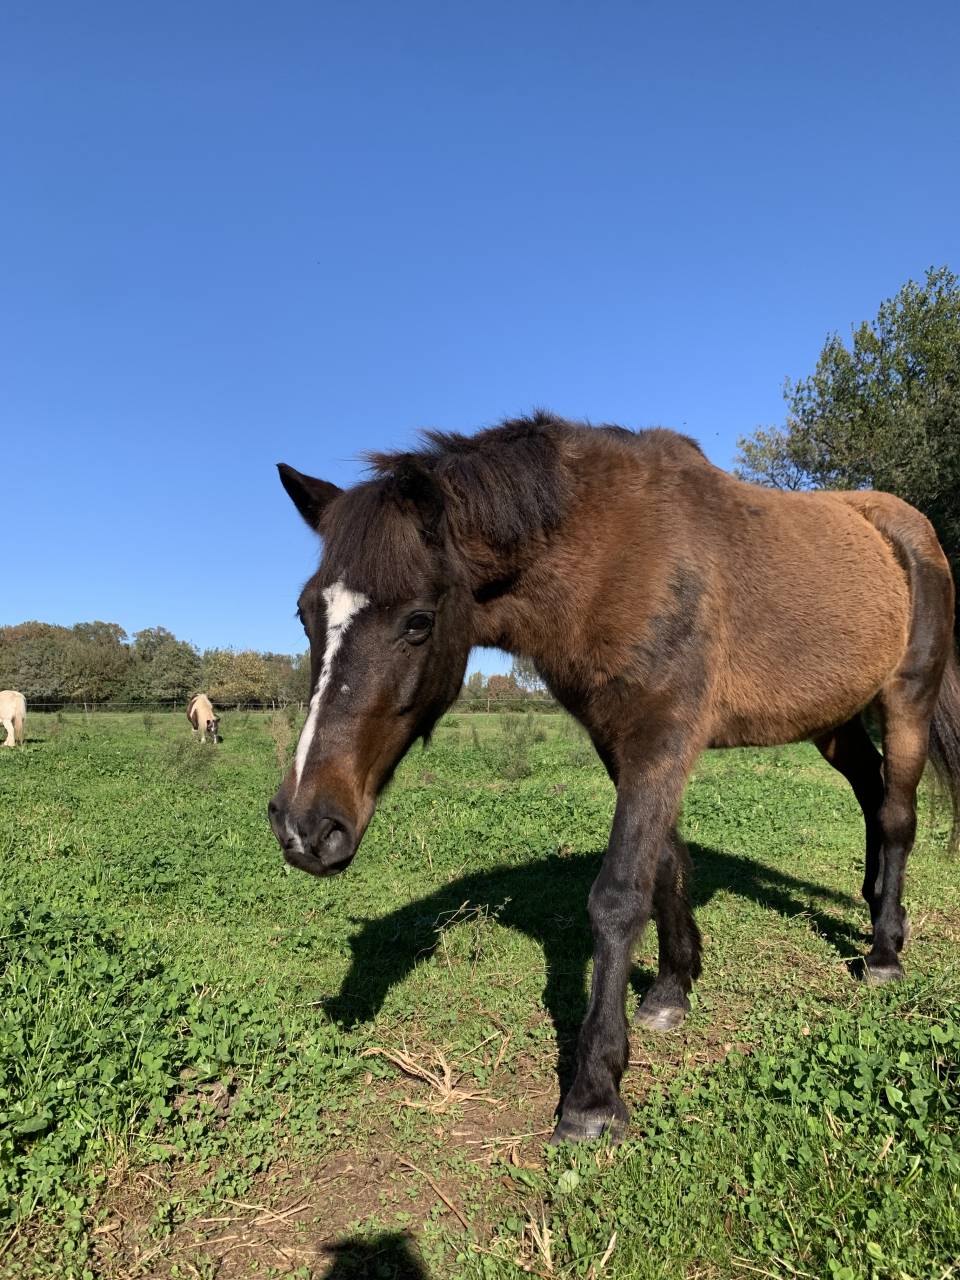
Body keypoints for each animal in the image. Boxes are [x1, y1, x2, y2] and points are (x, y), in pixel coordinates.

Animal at [268, 412, 960, 1144]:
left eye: (418, 621)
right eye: (306, 614)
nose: (306, 827)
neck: (617, 552)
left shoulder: (661, 739)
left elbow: (620, 894)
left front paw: (594, 1090)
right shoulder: (622, 744)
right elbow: (665, 868)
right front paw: (672, 990)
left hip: (907, 701)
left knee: (897, 815)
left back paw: (884, 953)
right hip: (833, 720)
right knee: (870, 789)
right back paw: (880, 907)